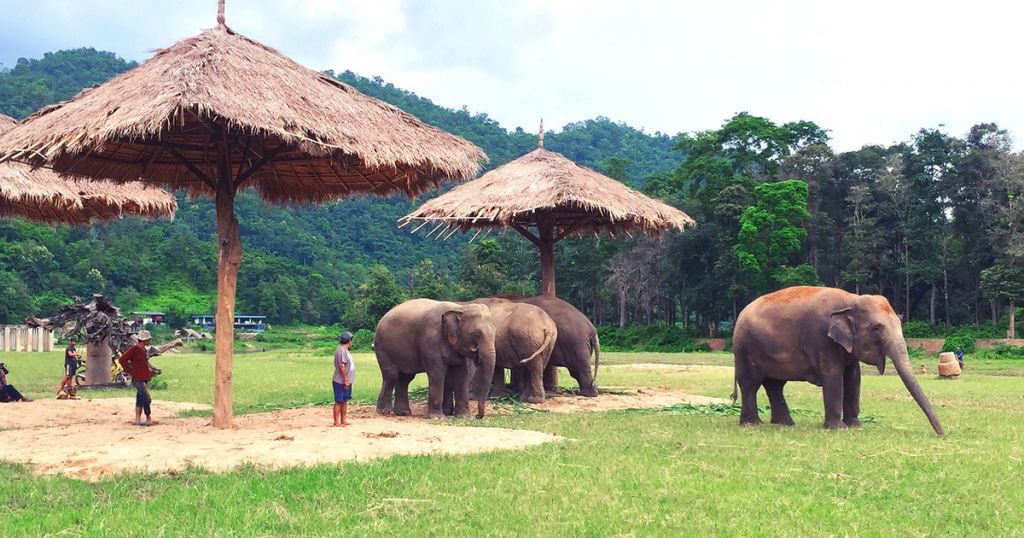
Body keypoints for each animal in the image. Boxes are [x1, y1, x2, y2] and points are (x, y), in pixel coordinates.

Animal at [737, 284, 942, 436]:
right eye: (876, 328)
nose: (942, 434)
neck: (851, 300)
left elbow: (853, 378)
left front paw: (855, 426)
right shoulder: (822, 339)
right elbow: (834, 377)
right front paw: (838, 429)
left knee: (775, 385)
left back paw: (785, 424)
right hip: (745, 348)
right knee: (750, 384)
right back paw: (752, 425)